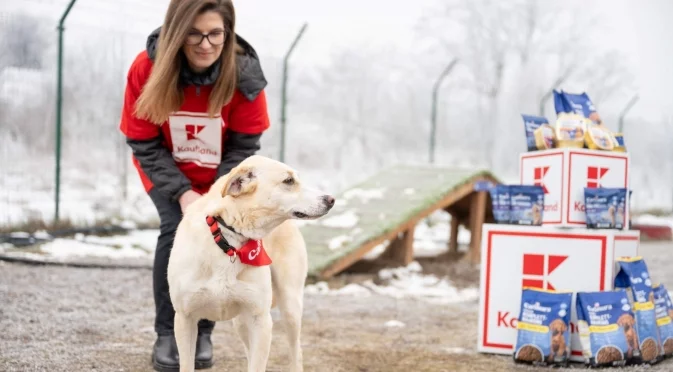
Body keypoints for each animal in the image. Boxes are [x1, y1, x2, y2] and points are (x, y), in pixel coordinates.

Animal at [167, 155, 334, 372]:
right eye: (289, 181)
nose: (331, 199)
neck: (229, 241)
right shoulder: (184, 318)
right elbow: (187, 364)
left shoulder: (261, 321)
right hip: (241, 322)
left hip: (290, 306)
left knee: (296, 352)